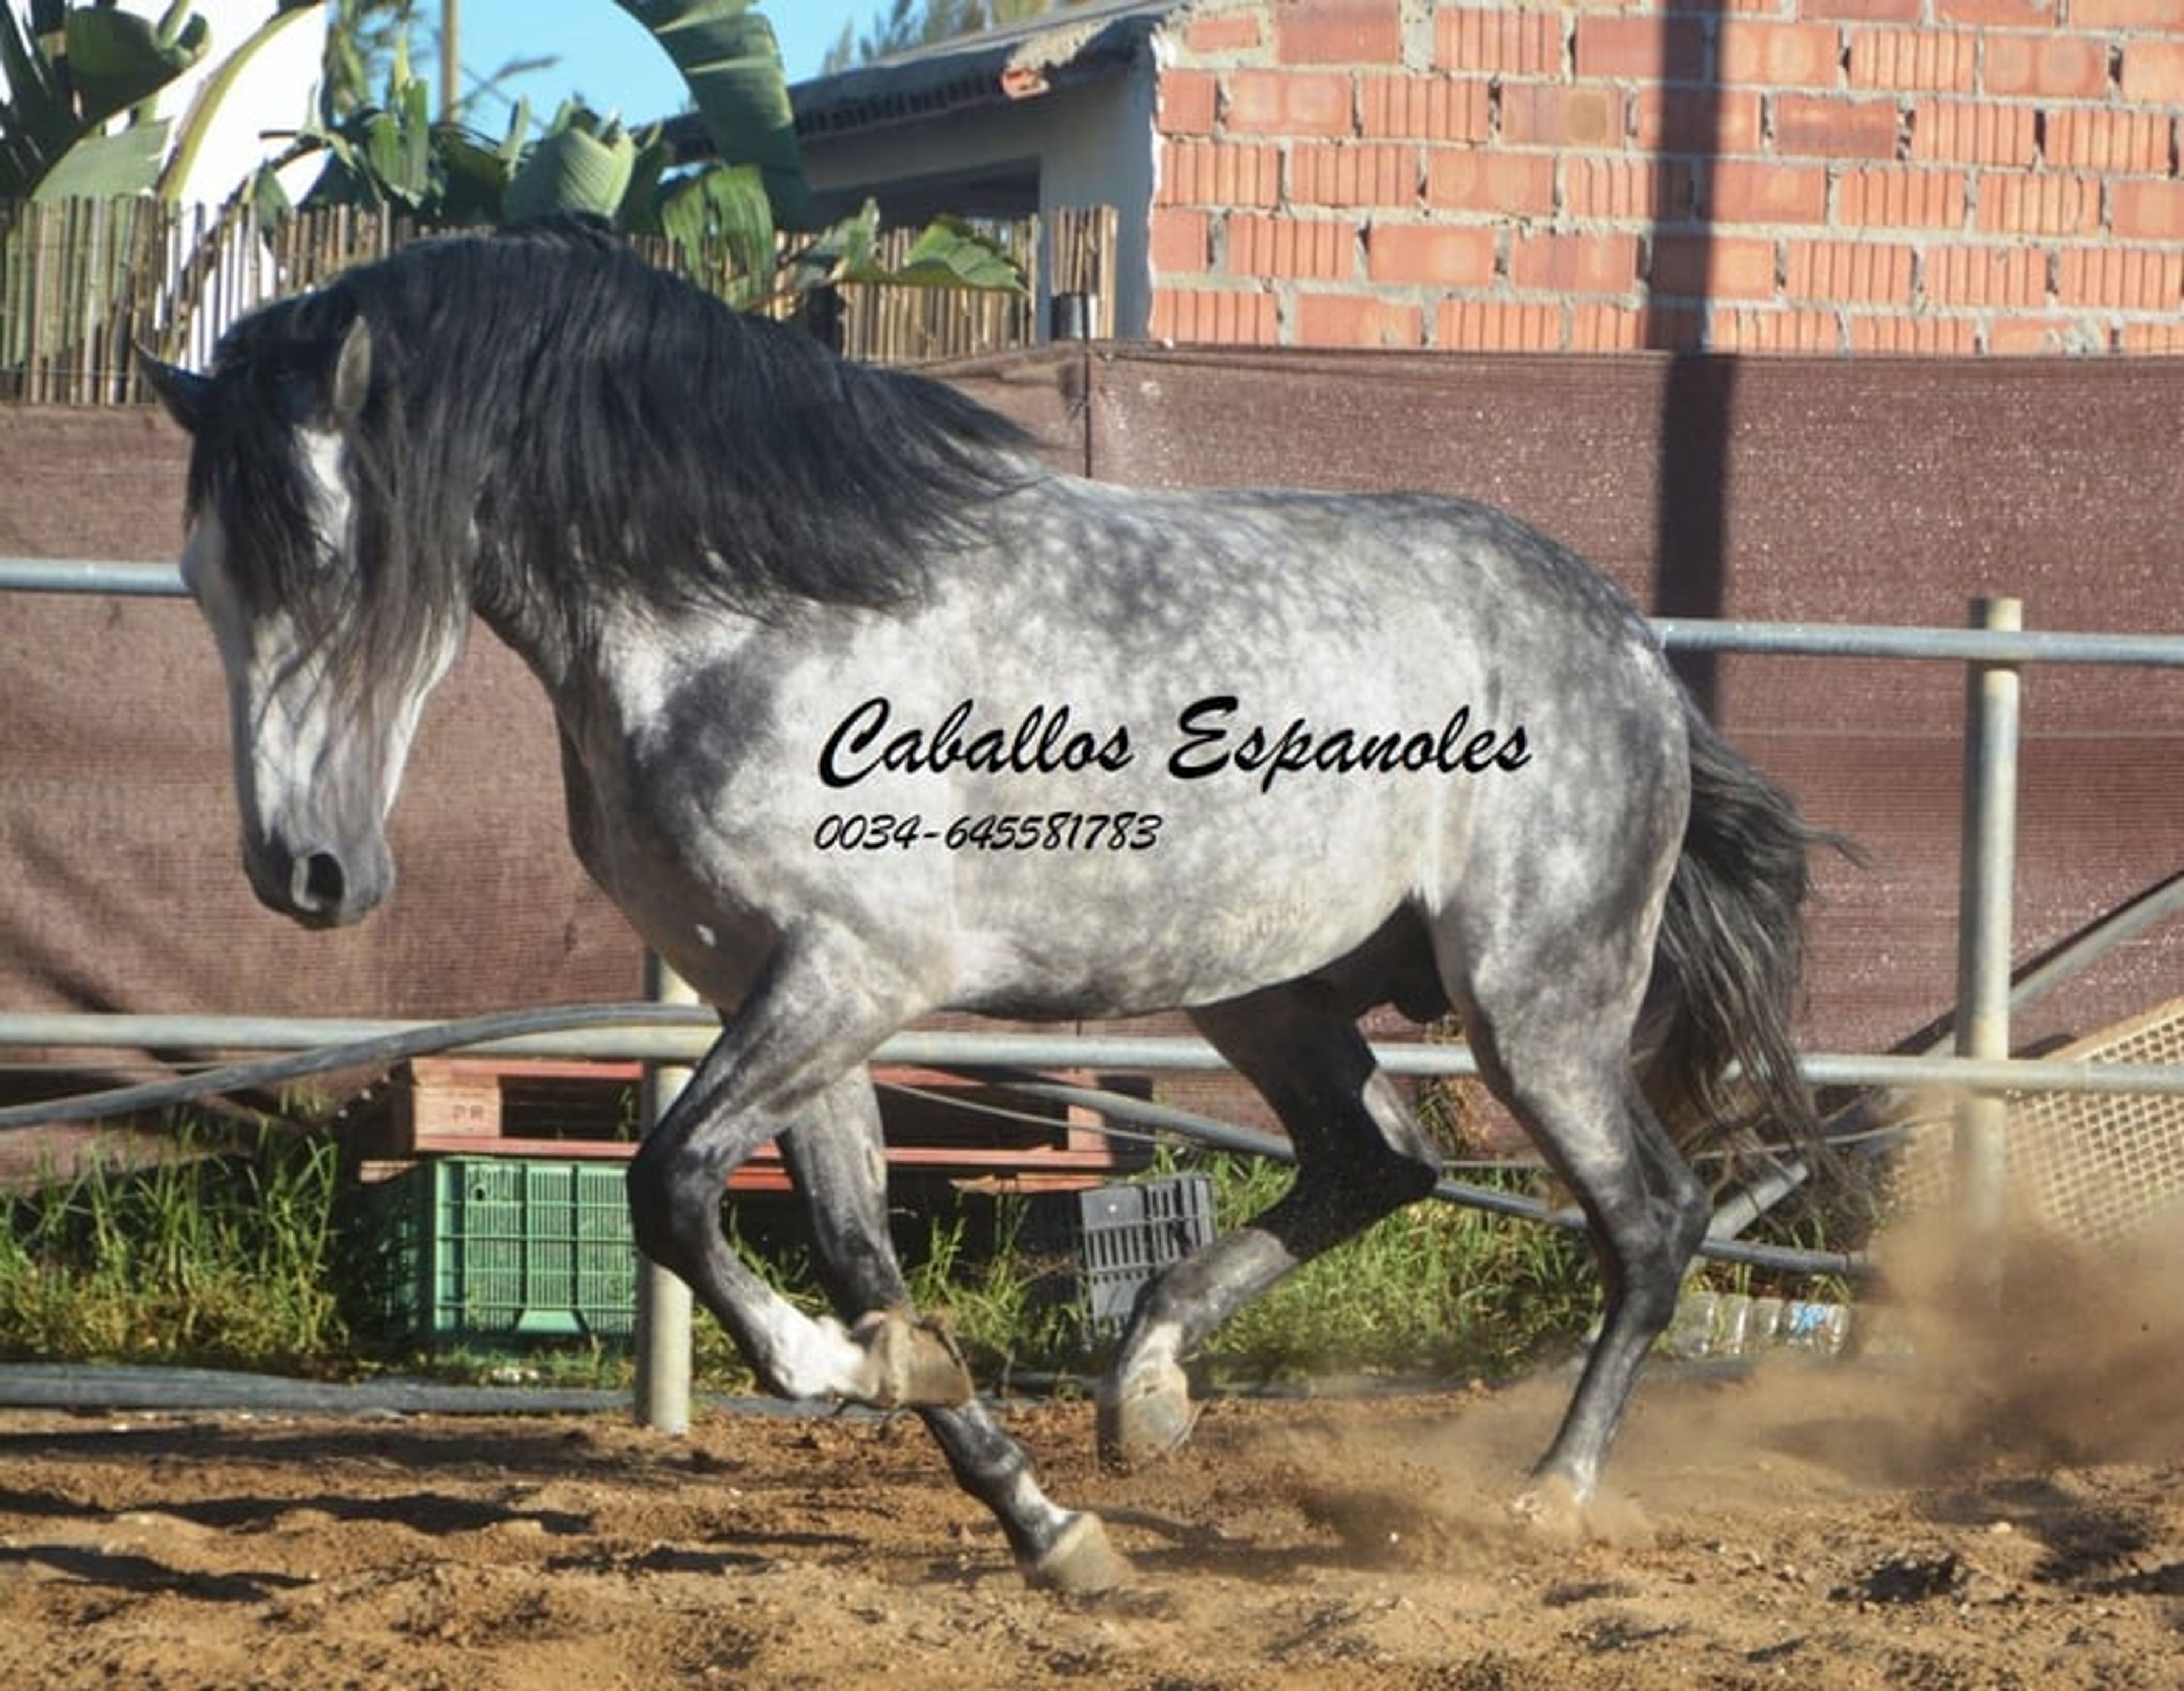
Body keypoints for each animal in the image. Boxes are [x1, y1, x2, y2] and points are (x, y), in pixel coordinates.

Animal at [142, 223, 1831, 1595]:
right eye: (203, 575)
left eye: (332, 556)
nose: (305, 873)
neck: (753, 611)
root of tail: (1630, 644)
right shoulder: (782, 989)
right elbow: (846, 1242)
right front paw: (1037, 1512)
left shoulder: (854, 973)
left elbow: (671, 1181)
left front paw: (831, 1369)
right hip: (1271, 989)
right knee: (1381, 1160)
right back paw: (1145, 1393)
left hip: (1535, 1000)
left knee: (1650, 1216)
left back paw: (1548, 1493)